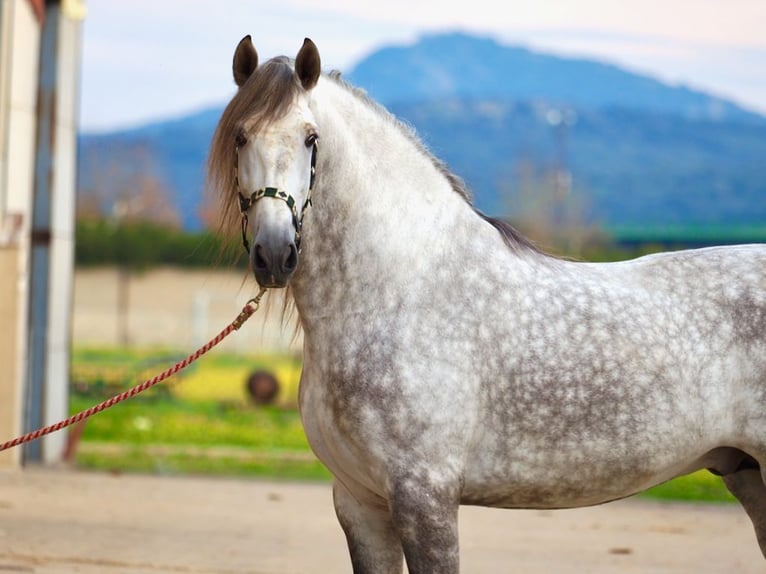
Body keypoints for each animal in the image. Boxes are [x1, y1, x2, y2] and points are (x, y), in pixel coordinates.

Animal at [207, 37, 766, 574]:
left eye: (311, 138)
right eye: (240, 137)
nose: (275, 254)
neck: (397, 291)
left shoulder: (424, 496)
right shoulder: (359, 502)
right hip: (747, 473)